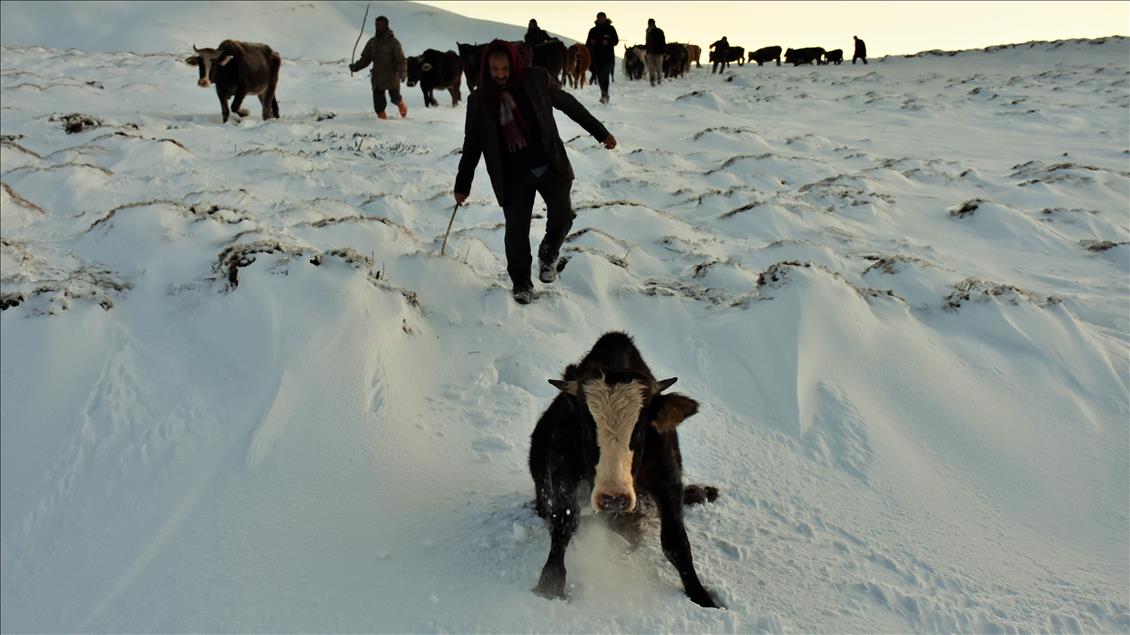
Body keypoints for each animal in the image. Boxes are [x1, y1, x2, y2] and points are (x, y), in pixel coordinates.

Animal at [528, 327, 723, 605]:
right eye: (586, 429)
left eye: (639, 430)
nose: (614, 499)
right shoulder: (562, 467)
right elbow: (564, 519)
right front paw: (550, 583)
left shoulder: (666, 475)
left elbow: (675, 541)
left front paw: (702, 597)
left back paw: (703, 493)